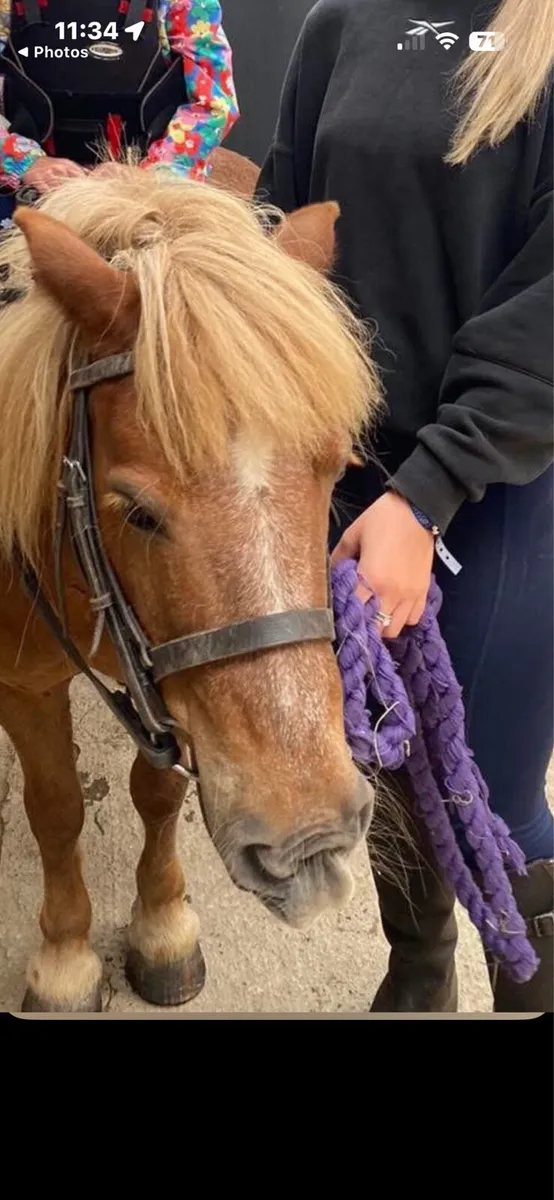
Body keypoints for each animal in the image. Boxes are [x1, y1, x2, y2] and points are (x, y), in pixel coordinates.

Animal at [0, 163, 382, 1012]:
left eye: (335, 468)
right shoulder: (24, 687)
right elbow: (57, 807)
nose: (310, 840)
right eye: (137, 510)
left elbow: (159, 794)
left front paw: (163, 922)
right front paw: (66, 956)